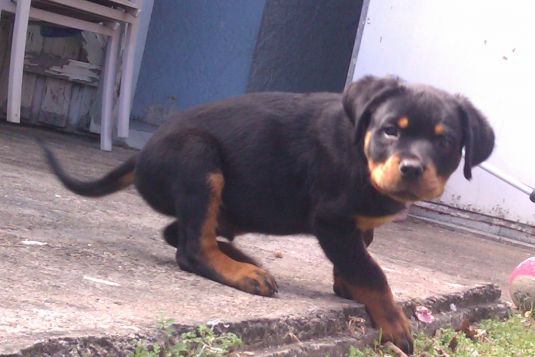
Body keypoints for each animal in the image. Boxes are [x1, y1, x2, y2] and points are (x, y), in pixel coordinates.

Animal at [40, 74, 494, 350]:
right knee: (190, 247)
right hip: (199, 161)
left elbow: (359, 255)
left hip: (226, 204)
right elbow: (372, 271)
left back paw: (246, 259)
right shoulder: (332, 220)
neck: (361, 150)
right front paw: (396, 324)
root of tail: (141, 157)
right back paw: (243, 272)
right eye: (389, 130)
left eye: (445, 141)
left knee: (178, 232)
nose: (412, 169)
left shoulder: (354, 226)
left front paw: (347, 285)